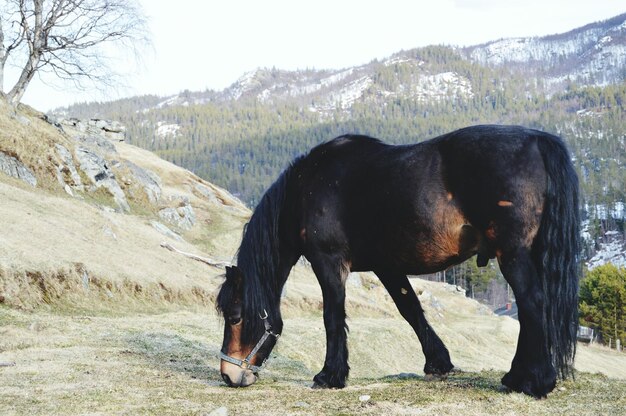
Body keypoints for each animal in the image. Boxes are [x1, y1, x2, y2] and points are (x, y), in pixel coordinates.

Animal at [217, 125, 576, 398]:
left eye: (235, 317)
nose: (227, 374)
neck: (308, 188)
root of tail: (536, 139)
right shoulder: (387, 267)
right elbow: (411, 310)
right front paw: (438, 363)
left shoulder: (329, 262)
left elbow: (332, 317)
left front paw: (330, 375)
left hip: (512, 255)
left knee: (532, 304)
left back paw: (531, 381)